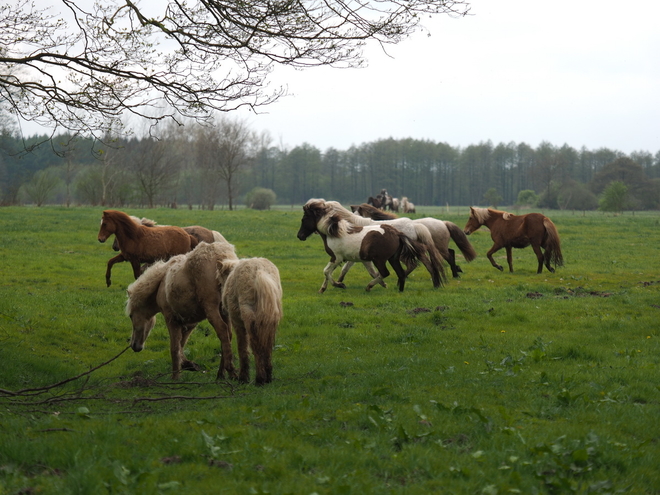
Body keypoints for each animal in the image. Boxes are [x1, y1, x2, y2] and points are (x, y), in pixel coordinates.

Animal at [125, 241, 238, 380]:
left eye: (131, 316)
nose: (134, 346)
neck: (161, 282)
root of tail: (221, 257)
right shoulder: (189, 323)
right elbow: (181, 345)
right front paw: (187, 364)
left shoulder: (170, 319)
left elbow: (174, 348)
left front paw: (175, 377)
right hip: (224, 312)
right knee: (228, 335)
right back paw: (221, 374)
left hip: (212, 310)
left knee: (222, 331)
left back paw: (230, 371)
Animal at [214, 258, 282, 386]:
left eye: (220, 283)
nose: (222, 308)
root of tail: (260, 271)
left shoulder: (238, 323)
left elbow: (242, 348)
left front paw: (243, 378)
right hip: (270, 319)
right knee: (267, 345)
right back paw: (268, 376)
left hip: (249, 318)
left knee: (256, 345)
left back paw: (260, 379)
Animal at [296, 202, 444, 292]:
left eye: (304, 219)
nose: (300, 236)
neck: (335, 232)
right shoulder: (357, 259)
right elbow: (337, 271)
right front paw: (326, 287)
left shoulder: (337, 258)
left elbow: (327, 271)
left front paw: (339, 284)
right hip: (395, 257)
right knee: (411, 268)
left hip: (388, 258)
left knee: (405, 268)